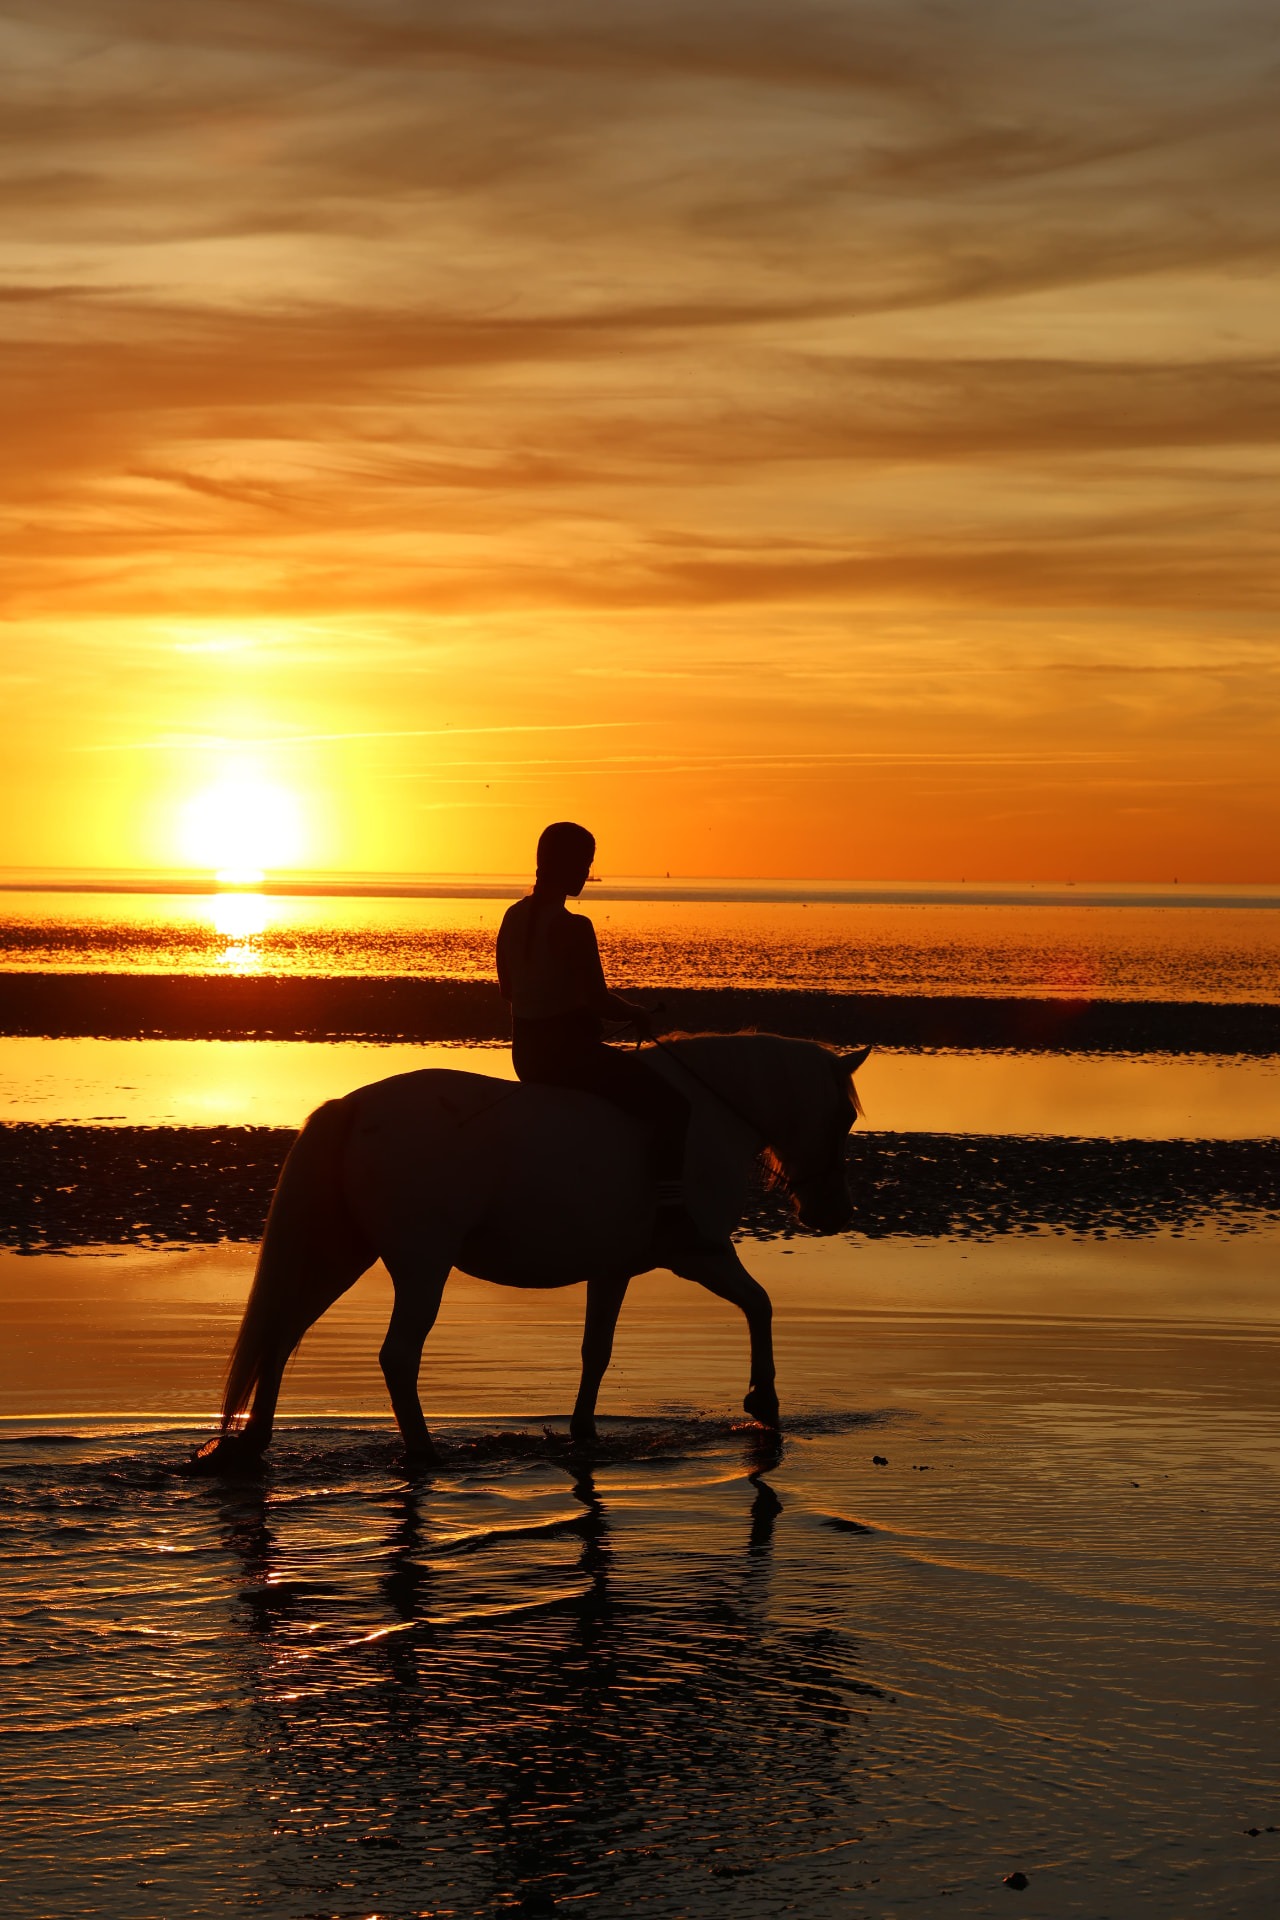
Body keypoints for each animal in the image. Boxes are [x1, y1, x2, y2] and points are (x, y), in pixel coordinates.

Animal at [194, 1034, 870, 1472]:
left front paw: (584, 1432)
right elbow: (760, 1304)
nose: (835, 1213)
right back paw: (425, 1454)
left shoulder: (613, 1269)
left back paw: (250, 1446)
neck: (709, 1117)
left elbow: (597, 1352)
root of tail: (354, 1107)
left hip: (344, 1253)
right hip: (421, 1263)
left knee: (281, 1336)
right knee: (396, 1357)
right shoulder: (698, 1253)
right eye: (842, 1116)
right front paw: (764, 1402)